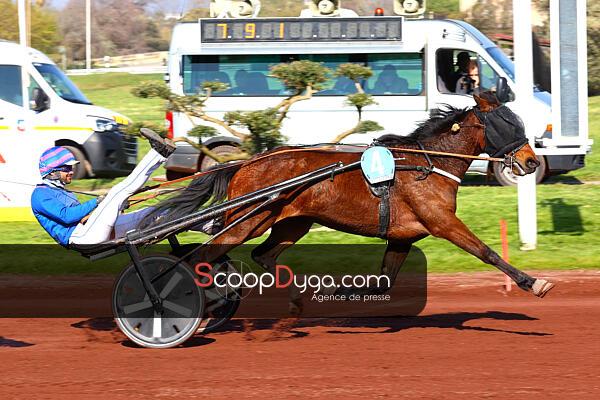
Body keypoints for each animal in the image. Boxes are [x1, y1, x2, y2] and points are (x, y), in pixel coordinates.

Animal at [144, 92, 554, 313]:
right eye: (507, 123)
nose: (532, 162)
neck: (426, 163)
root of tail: (245, 162)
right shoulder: (441, 221)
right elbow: (487, 252)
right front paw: (533, 282)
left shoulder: (402, 237)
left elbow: (383, 280)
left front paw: (341, 293)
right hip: (246, 220)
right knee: (200, 257)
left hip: (290, 222)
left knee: (262, 255)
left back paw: (291, 298)